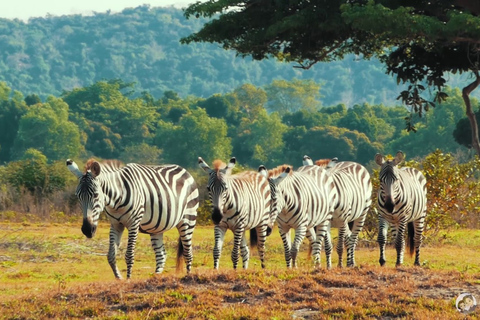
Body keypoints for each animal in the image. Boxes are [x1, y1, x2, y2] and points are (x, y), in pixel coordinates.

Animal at [66, 159, 199, 278]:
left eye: (96, 195)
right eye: (78, 196)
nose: (87, 230)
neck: (116, 200)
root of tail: (184, 170)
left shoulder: (134, 223)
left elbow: (129, 255)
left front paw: (128, 280)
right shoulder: (116, 224)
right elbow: (111, 256)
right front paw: (119, 279)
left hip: (188, 219)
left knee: (188, 252)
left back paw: (188, 276)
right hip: (157, 227)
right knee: (161, 255)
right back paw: (155, 278)